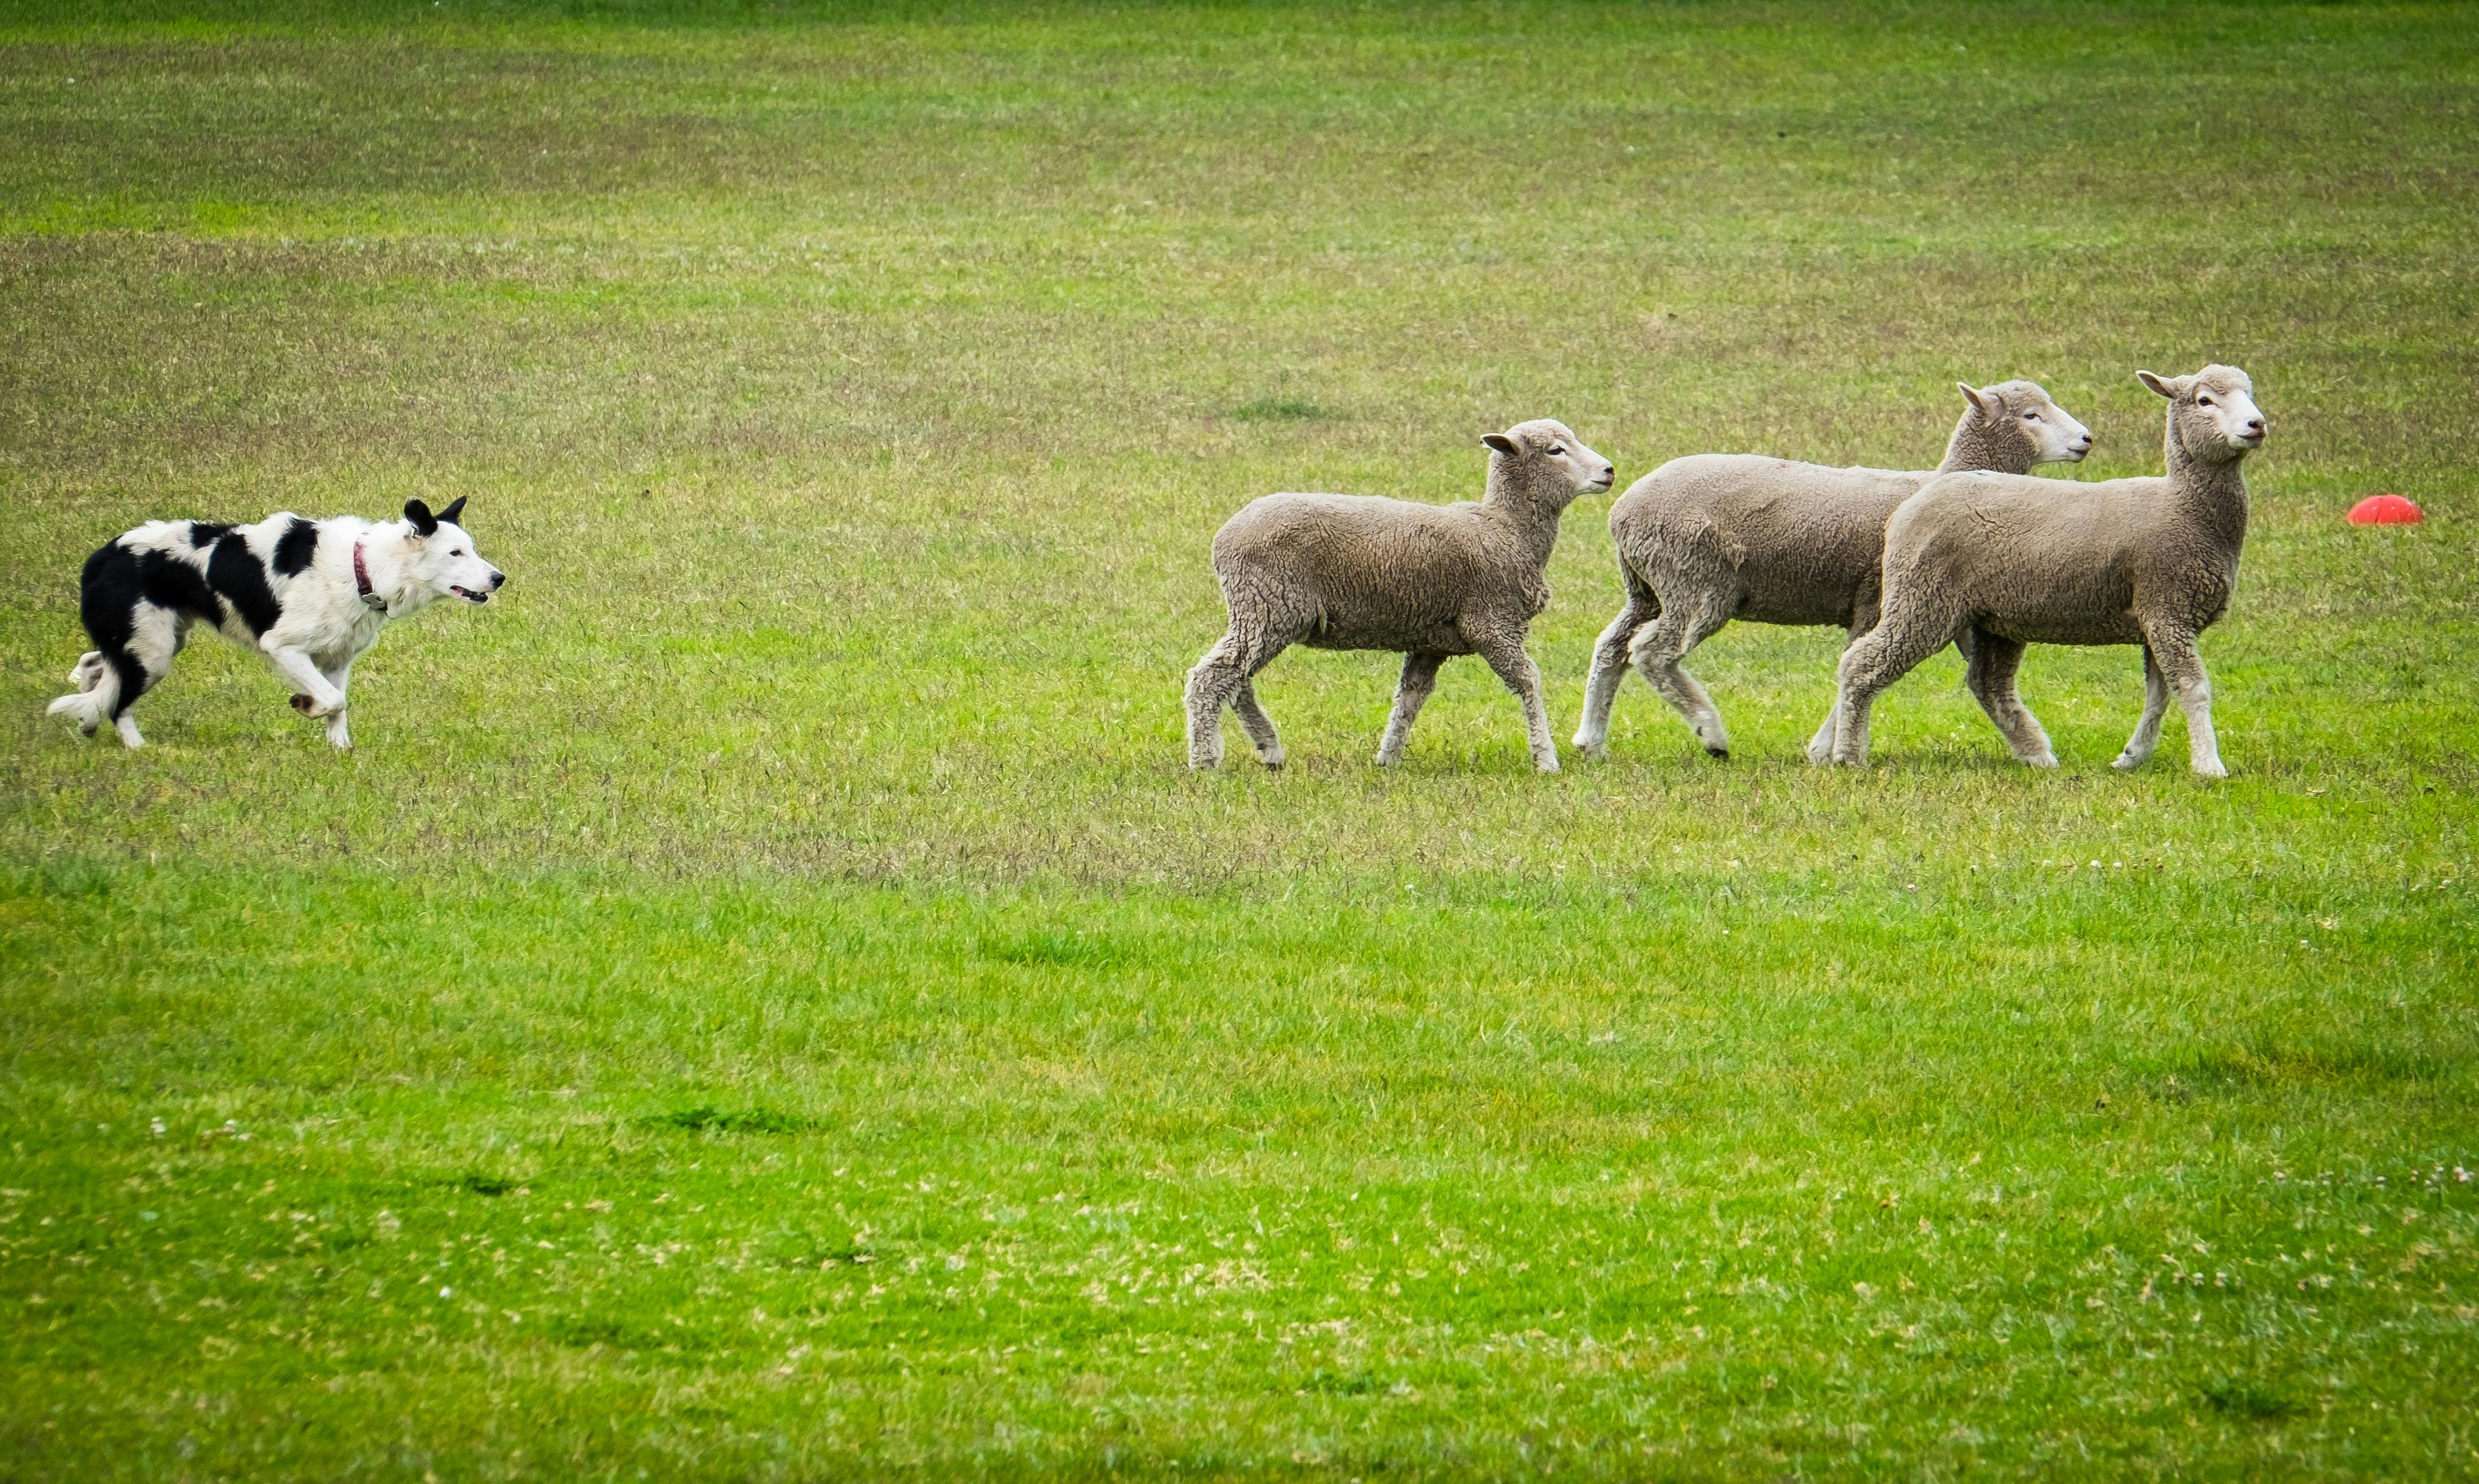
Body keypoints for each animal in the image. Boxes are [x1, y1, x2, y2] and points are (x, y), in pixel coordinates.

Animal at [1185, 419, 1615, 772]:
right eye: (1555, 450)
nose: (1609, 471)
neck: (1505, 527)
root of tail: (1225, 536)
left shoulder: (1430, 641)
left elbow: (1410, 698)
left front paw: (1387, 759)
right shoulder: (1492, 623)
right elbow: (1528, 681)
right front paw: (1547, 758)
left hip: (1262, 611)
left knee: (1237, 677)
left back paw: (1268, 749)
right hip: (1269, 604)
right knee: (1213, 675)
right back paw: (1205, 760)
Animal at [1572, 380, 2092, 763]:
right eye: (2031, 416)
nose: (2087, 439)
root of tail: (1623, 509)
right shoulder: (1880, 599)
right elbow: (1860, 663)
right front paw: (1830, 748)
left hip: (1646, 587)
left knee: (1611, 648)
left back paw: (1590, 740)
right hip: (1695, 581)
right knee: (1652, 651)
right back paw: (1710, 731)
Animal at [1826, 365, 2265, 776]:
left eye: (2251, 393)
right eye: (2205, 401)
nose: (2257, 425)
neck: (2184, 508)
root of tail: (1912, 504)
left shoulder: (2163, 615)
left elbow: (2160, 695)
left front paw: (2132, 757)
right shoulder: (2167, 605)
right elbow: (2193, 689)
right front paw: (2209, 765)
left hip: (1992, 617)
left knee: (1987, 682)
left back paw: (2035, 755)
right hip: (1922, 599)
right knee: (1860, 663)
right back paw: (1846, 755)